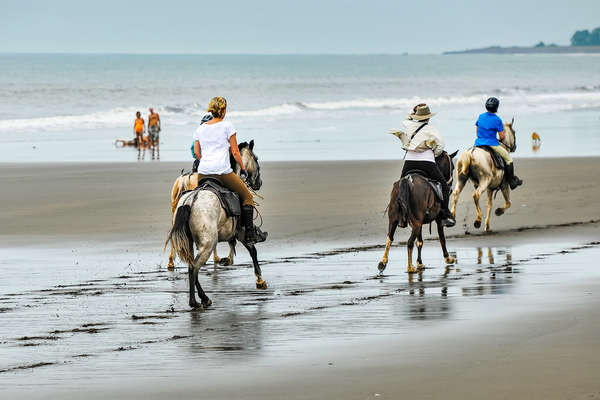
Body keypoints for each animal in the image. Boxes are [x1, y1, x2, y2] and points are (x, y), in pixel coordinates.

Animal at [165, 141, 266, 310]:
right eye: (256, 159)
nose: (259, 183)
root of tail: (191, 200)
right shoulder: (241, 232)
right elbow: (252, 250)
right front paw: (260, 280)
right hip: (208, 242)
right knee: (194, 267)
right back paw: (198, 300)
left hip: (190, 239)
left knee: (191, 265)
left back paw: (200, 298)